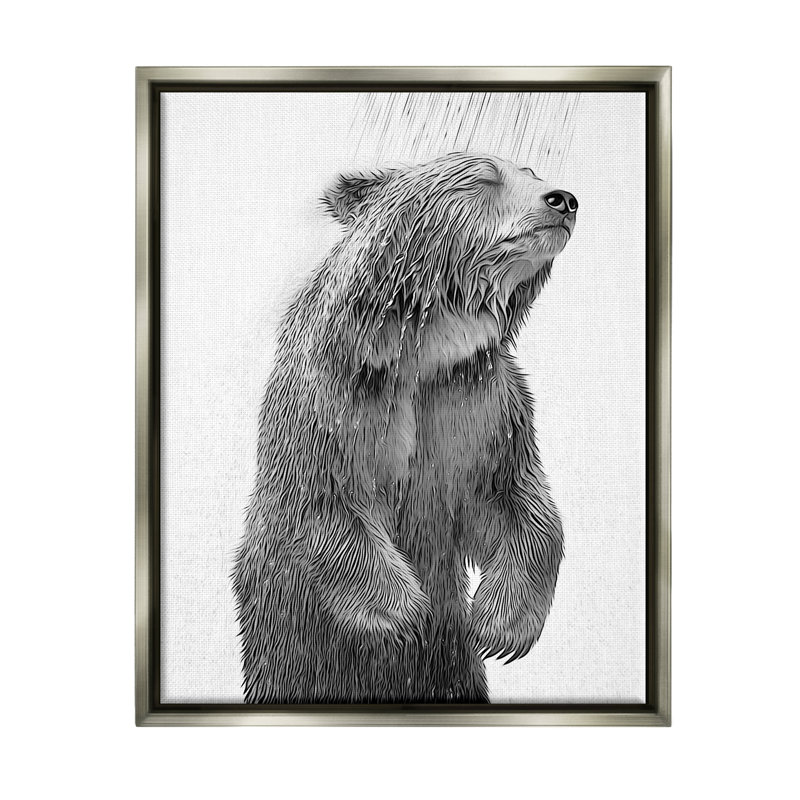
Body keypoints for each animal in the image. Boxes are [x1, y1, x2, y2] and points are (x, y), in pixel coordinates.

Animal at [232, 152, 578, 704]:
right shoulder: (340, 396)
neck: (425, 347)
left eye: (532, 173)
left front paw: (497, 627)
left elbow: (513, 498)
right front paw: (405, 616)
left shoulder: (477, 400)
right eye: (483, 177)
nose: (563, 199)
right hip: (285, 642)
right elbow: (324, 496)